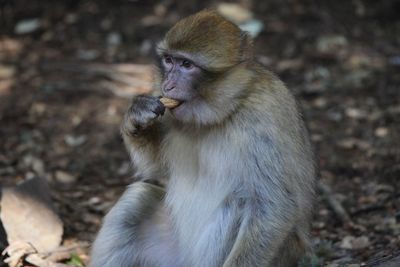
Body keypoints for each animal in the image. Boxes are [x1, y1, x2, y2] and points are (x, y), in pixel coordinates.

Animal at [90, 10, 316, 267]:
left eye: (187, 65)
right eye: (169, 61)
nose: (168, 85)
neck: (223, 110)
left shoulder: (262, 119)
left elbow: (273, 205)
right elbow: (155, 168)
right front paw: (136, 116)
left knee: (239, 203)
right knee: (137, 200)